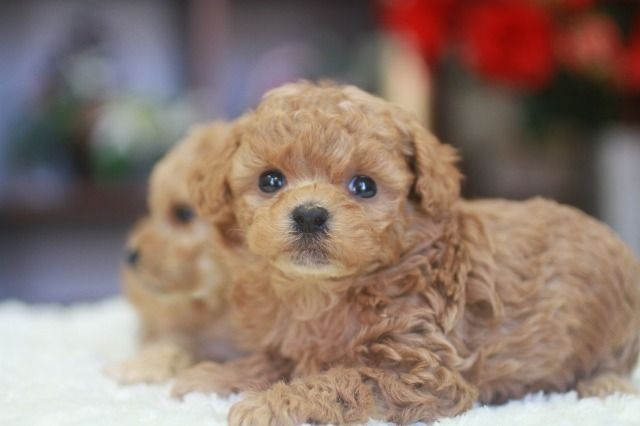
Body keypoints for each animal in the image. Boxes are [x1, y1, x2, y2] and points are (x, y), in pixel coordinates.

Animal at [172, 82, 640, 425]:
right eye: (270, 181)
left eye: (364, 186)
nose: (309, 215)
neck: (329, 291)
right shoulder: (293, 345)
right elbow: (268, 361)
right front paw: (212, 375)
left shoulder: (423, 372)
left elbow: (343, 379)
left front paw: (273, 404)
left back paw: (602, 386)